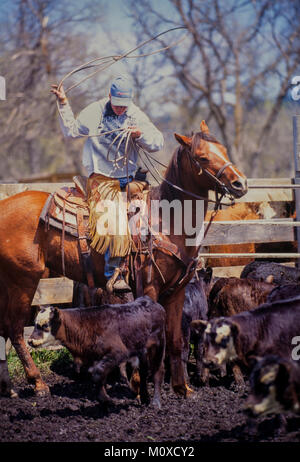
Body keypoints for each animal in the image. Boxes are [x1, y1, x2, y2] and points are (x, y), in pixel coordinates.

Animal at [29, 296, 165, 408]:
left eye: (46, 325)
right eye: (34, 324)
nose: (30, 341)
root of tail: (151, 301)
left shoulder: (118, 352)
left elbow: (98, 372)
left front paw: (106, 399)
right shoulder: (94, 357)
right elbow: (97, 376)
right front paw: (104, 400)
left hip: (158, 347)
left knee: (157, 372)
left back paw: (156, 402)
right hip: (142, 350)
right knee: (143, 372)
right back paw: (145, 398)